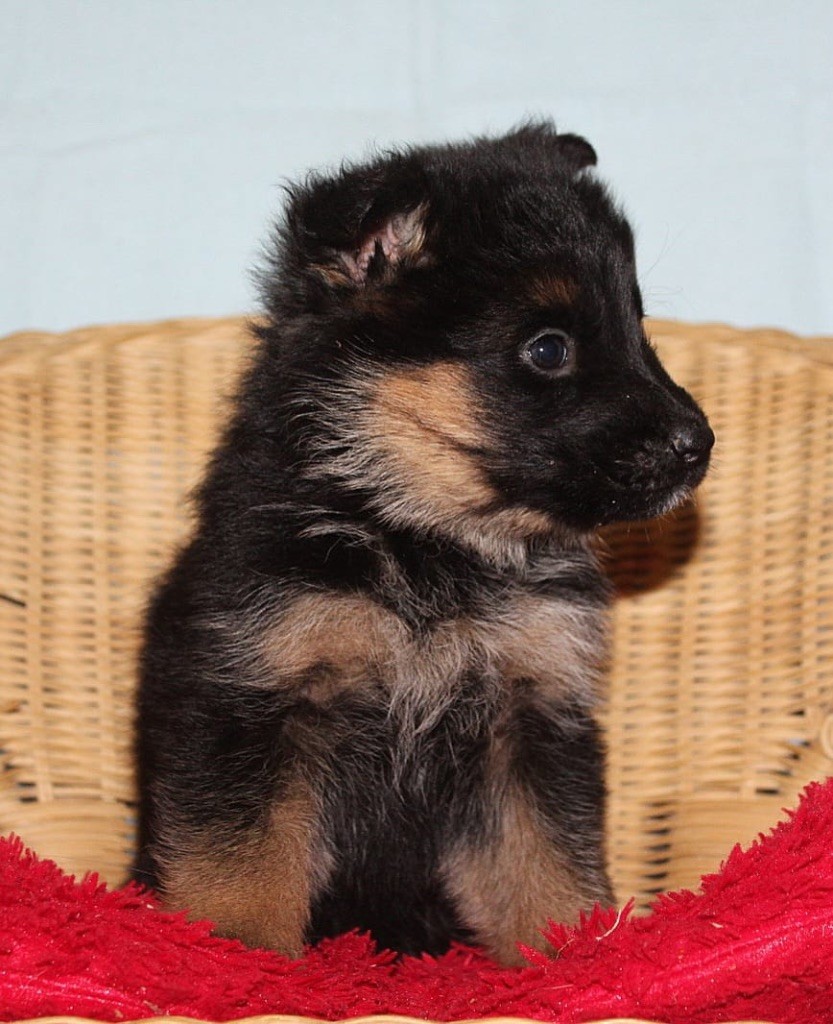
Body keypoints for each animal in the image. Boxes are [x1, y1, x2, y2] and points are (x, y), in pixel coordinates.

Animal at [135, 122, 713, 966]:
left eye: (636, 327)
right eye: (548, 350)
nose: (697, 445)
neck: (421, 538)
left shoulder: (528, 720)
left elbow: (544, 868)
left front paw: (572, 962)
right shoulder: (248, 703)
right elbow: (241, 870)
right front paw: (243, 963)